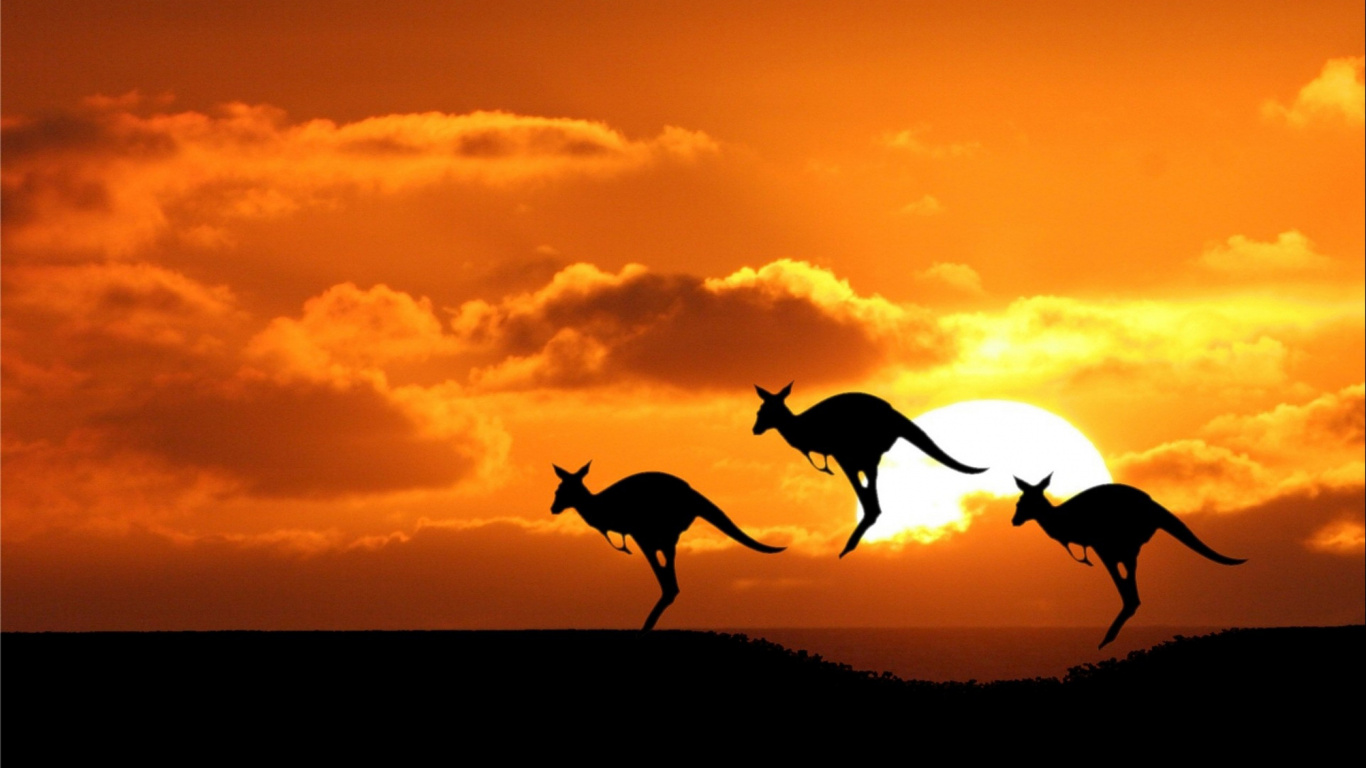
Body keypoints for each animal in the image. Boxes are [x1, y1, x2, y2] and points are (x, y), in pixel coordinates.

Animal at [551, 462, 785, 631]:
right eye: (558, 490)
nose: (553, 508)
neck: (599, 507)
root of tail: (692, 495)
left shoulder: (638, 532)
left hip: (655, 531)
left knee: (669, 585)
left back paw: (645, 628)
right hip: (661, 536)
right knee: (670, 582)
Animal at [752, 382, 986, 558]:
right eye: (760, 411)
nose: (755, 429)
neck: (801, 428)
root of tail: (893, 414)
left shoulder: (839, 452)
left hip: (856, 451)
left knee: (871, 503)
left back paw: (848, 547)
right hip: (864, 455)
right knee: (872, 499)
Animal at [1012, 474, 1247, 648]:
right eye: (1019, 502)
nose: (1014, 521)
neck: (1060, 519)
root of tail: (1153, 506)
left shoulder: (1098, 543)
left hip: (1115, 542)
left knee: (1130, 594)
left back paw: (1106, 639)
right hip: (1122, 546)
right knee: (1131, 589)